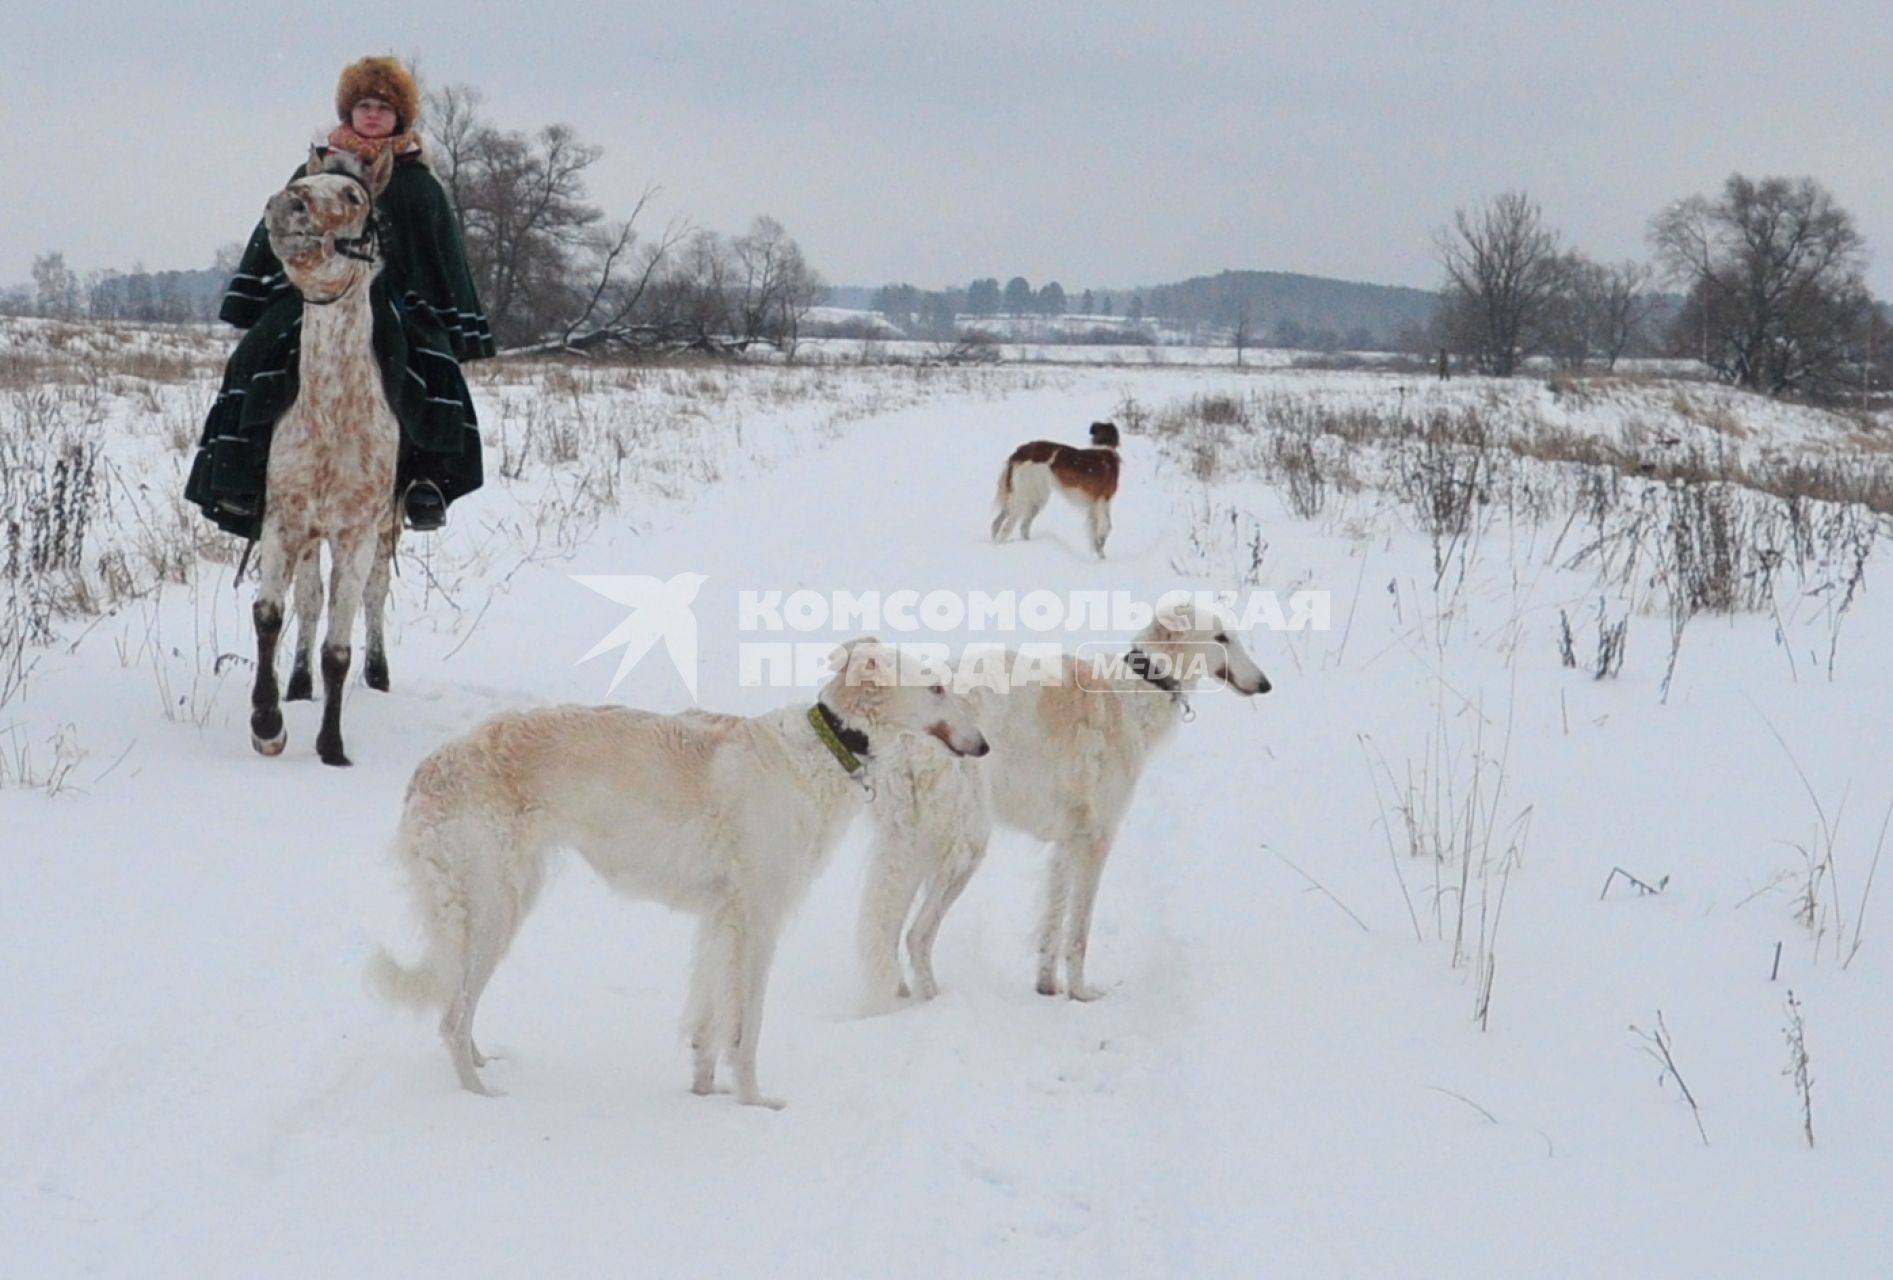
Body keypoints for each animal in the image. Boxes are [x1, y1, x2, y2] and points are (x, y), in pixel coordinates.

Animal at [369, 643, 991, 1105]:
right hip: (493, 906)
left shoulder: (722, 918)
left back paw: (483, 1061)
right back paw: (480, 1095)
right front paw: (754, 1103)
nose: (984, 746)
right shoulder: (758, 918)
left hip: (502, 901)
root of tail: (430, 769)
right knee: (450, 1016)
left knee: (459, 1008)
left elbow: (709, 1022)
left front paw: (704, 1090)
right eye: (937, 689)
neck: (817, 751)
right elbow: (746, 1027)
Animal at [859, 602, 1272, 1007]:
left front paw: (1047, 987)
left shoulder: (1067, 841)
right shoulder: (1097, 839)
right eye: (1221, 637)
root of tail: (905, 736)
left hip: (912, 842)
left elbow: (1052, 924)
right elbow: (1078, 933)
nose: (1265, 684)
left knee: (888, 931)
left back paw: (901, 994)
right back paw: (933, 1000)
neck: (1133, 691)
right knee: (916, 935)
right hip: (964, 845)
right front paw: (1081, 994)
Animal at [991, 422, 1120, 556]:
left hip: (1028, 498)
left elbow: (1101, 529)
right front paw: (1101, 556)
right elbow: (1105, 529)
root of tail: (1018, 452)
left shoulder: (1097, 505)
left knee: (1003, 523)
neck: (1105, 448)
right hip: (1024, 497)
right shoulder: (1102, 501)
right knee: (1008, 528)